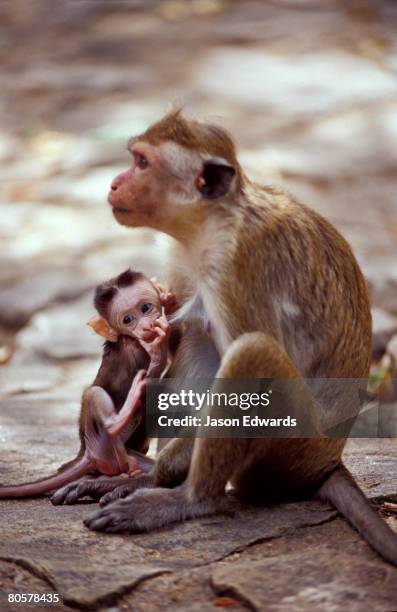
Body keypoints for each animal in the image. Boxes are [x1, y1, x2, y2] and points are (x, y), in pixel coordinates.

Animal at [0, 270, 172, 500]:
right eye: (127, 320)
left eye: (146, 308)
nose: (145, 327)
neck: (130, 340)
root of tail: (86, 452)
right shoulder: (133, 349)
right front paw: (157, 352)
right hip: (101, 442)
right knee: (94, 393)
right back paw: (117, 422)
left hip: (123, 455)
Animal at [76, 111, 392, 564]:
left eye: (142, 162)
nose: (116, 182)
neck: (211, 222)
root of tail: (327, 462)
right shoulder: (184, 260)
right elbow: (175, 336)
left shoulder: (233, 266)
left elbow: (243, 357)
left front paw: (153, 479)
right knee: (196, 335)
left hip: (291, 448)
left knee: (250, 351)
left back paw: (189, 498)